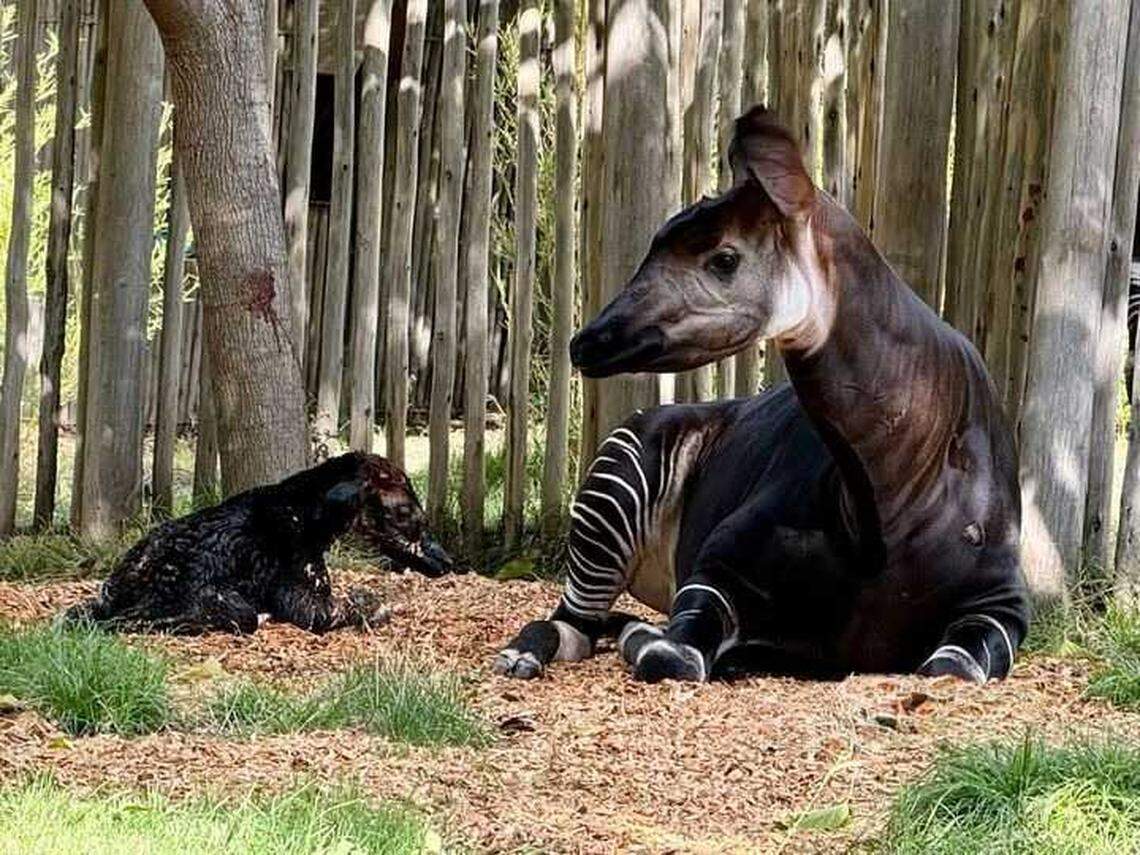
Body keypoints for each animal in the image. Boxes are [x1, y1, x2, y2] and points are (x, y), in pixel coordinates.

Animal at [494, 107, 1030, 685]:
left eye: (724, 258)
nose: (586, 341)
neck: (885, 501)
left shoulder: (999, 607)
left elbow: (950, 669)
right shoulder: (717, 567)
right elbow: (671, 654)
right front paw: (658, 641)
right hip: (616, 476)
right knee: (572, 624)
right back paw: (523, 655)